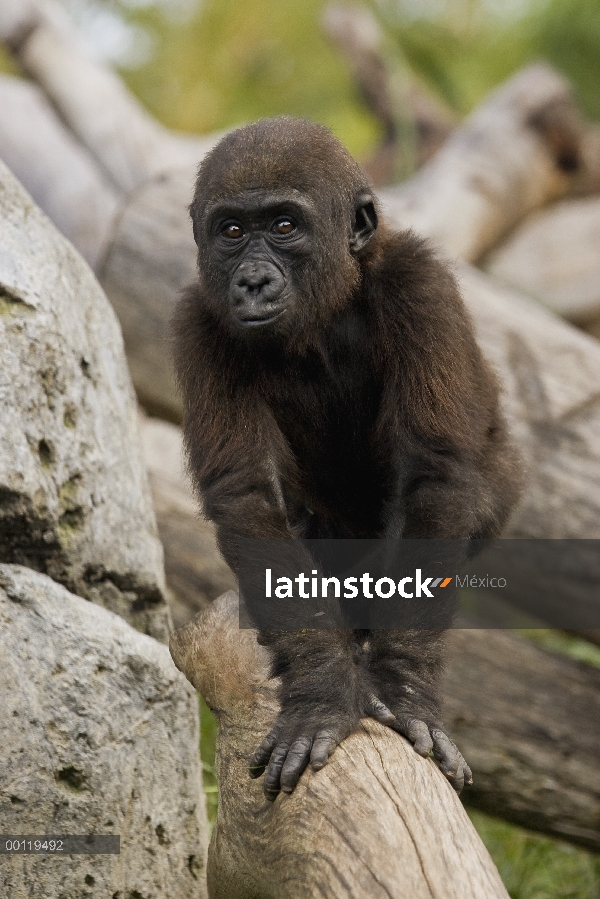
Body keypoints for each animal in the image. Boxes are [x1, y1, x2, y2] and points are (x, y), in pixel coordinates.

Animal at [171, 116, 524, 800]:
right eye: (232, 232)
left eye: (285, 225)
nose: (253, 280)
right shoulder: (197, 323)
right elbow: (248, 495)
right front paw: (322, 689)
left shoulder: (421, 285)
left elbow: (434, 479)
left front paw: (404, 690)